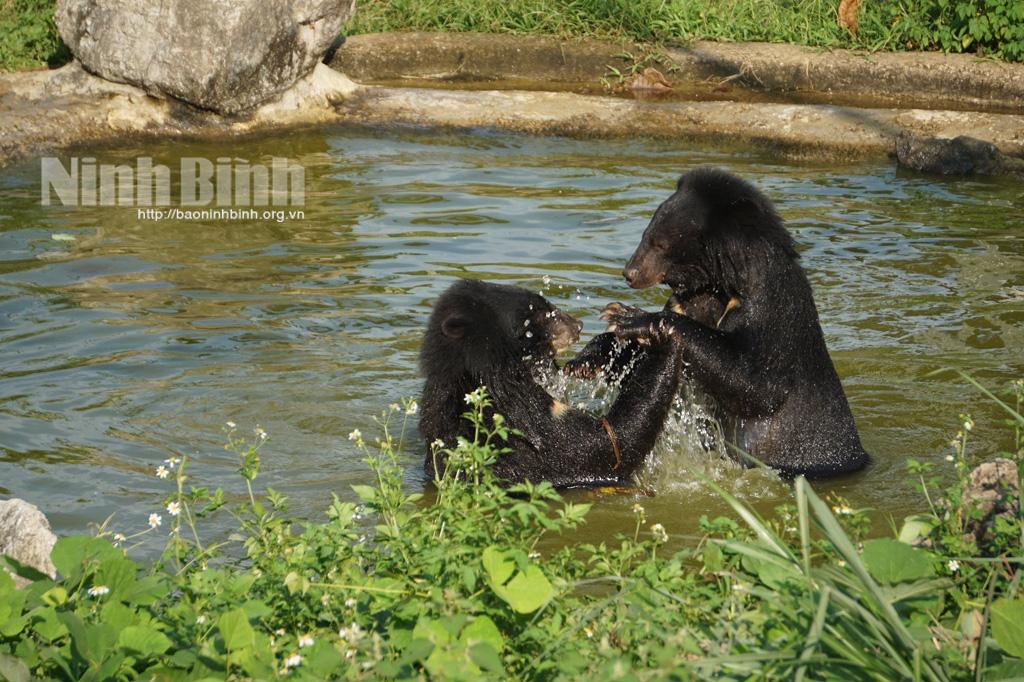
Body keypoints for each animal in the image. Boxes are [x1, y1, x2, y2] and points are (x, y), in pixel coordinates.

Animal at [418, 279, 683, 487]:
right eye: (539, 315)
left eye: (545, 305)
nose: (578, 326)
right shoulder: (518, 428)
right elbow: (604, 444)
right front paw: (661, 333)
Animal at [599, 167, 870, 477]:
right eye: (646, 234)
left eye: (660, 242)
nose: (629, 273)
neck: (722, 288)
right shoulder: (696, 300)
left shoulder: (772, 311)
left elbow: (754, 382)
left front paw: (626, 316)